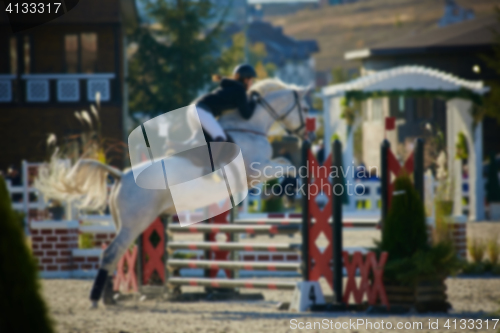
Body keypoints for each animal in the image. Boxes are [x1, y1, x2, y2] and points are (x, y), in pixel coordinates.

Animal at [34, 78, 308, 306]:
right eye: (305, 109)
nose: (307, 135)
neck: (249, 126)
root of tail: (120, 175)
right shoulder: (256, 171)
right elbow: (288, 163)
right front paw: (288, 189)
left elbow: (285, 162)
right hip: (136, 222)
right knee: (112, 252)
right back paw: (96, 299)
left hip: (125, 223)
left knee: (115, 253)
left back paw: (109, 297)